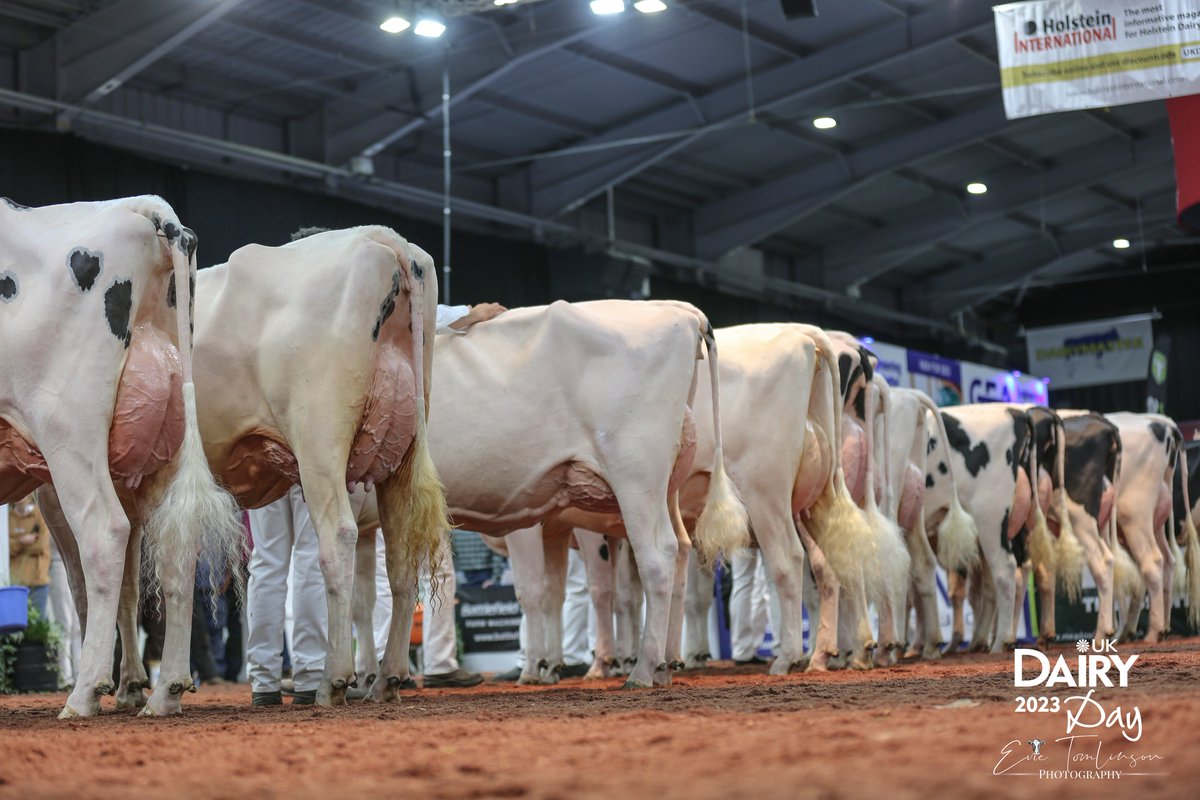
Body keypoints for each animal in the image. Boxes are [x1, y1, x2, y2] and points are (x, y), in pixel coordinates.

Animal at [0, 196, 243, 718]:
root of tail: (147, 208)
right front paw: (130, 684)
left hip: (67, 432)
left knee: (105, 535)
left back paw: (83, 693)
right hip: (157, 452)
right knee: (171, 551)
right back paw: (164, 690)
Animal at [350, 300, 749, 694]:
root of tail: (681, 311)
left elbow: (532, 593)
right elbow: (362, 600)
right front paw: (366, 675)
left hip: (636, 477)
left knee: (656, 558)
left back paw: (641, 669)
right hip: (664, 486)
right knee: (679, 549)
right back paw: (666, 664)